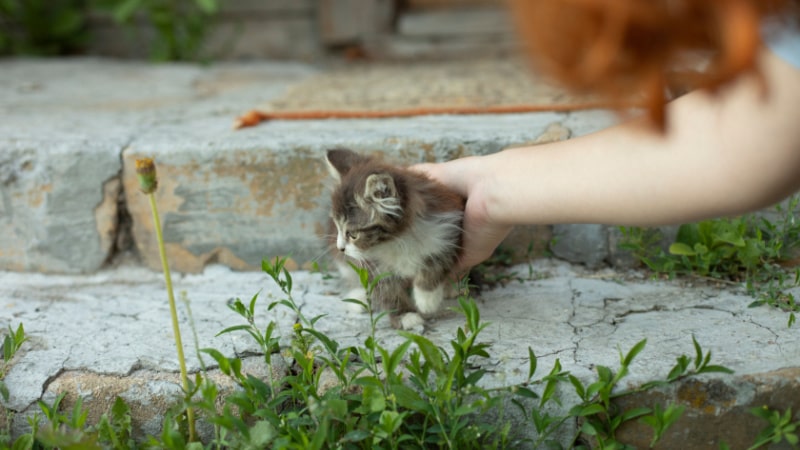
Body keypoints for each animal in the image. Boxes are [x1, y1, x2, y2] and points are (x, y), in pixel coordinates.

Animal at [324, 149, 462, 328]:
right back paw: (359, 296)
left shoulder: (448, 230)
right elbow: (387, 290)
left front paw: (427, 299)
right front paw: (405, 315)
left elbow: (436, 262)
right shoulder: (373, 264)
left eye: (353, 234)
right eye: (337, 228)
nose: (340, 247)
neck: (396, 241)